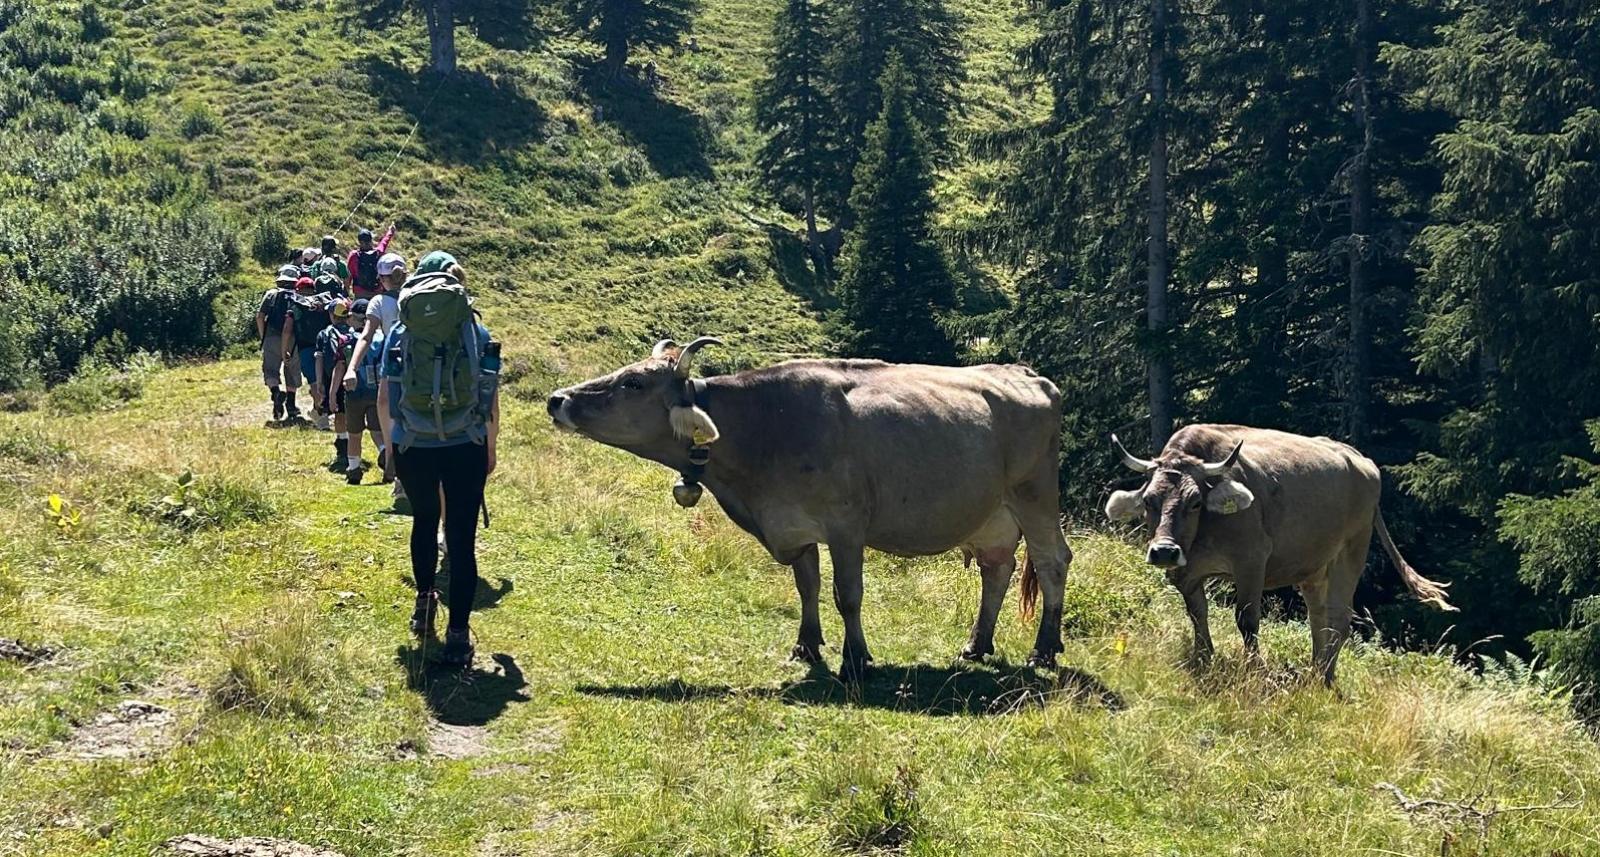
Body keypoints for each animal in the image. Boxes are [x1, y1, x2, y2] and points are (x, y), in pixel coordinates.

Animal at [546, 337, 1073, 677]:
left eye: (634, 383)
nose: (557, 399)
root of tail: (1026, 374)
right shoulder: (793, 528)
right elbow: (808, 587)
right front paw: (806, 646)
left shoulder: (846, 524)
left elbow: (847, 594)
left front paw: (855, 658)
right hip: (992, 513)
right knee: (996, 569)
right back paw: (977, 645)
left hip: (1035, 495)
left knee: (1052, 562)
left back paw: (1044, 651)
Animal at [1095, 424, 1456, 684]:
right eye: (1149, 501)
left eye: (1195, 502)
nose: (1165, 551)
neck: (1203, 535)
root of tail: (1362, 461)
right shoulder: (1186, 573)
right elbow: (1198, 614)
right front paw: (1204, 658)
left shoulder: (1252, 560)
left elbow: (1246, 619)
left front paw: (1253, 667)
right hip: (1314, 567)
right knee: (1318, 618)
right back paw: (1316, 669)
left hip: (1352, 550)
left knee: (1338, 619)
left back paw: (1323, 679)